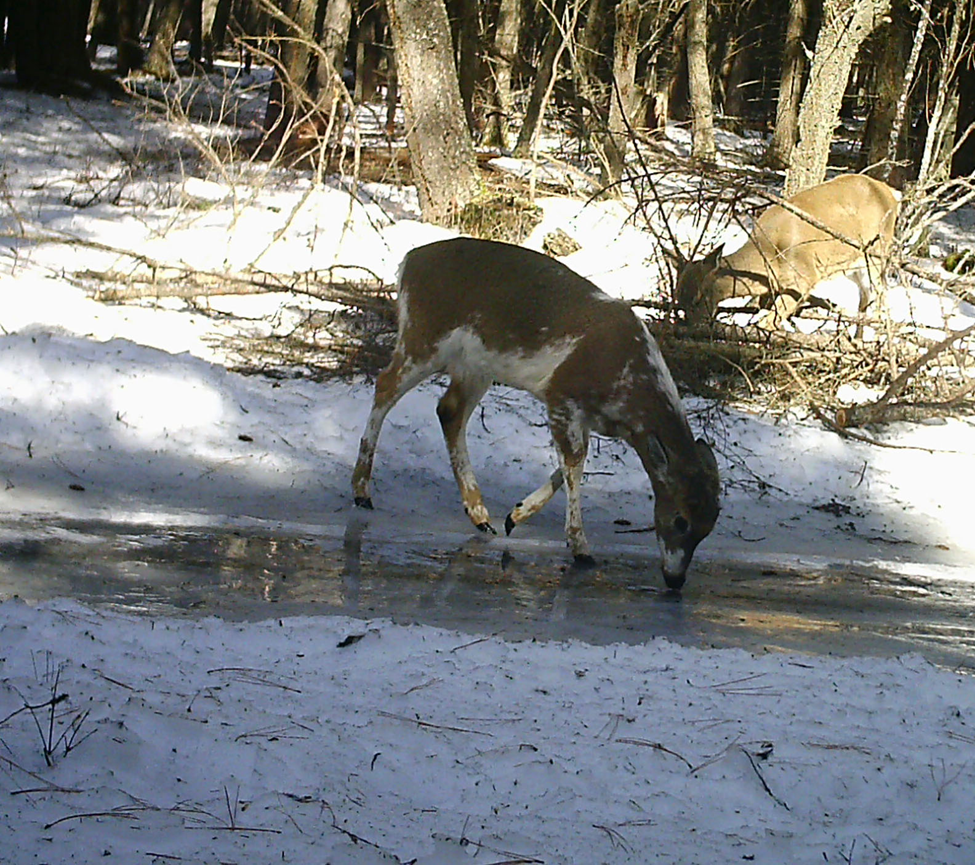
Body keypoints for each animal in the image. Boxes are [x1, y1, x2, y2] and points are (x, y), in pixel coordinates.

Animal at [352, 237, 720, 591]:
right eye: (680, 519)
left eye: (708, 528)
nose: (675, 580)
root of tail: (409, 261)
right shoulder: (561, 394)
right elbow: (574, 463)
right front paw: (580, 547)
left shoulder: (587, 418)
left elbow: (568, 465)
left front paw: (515, 516)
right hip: (425, 334)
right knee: (386, 386)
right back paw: (362, 491)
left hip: (475, 366)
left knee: (449, 411)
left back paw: (480, 516)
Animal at [675, 174, 900, 328]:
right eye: (678, 298)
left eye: (697, 298)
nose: (690, 327)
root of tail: (891, 192)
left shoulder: (804, 277)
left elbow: (769, 322)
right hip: (853, 266)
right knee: (865, 297)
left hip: (878, 253)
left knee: (882, 295)